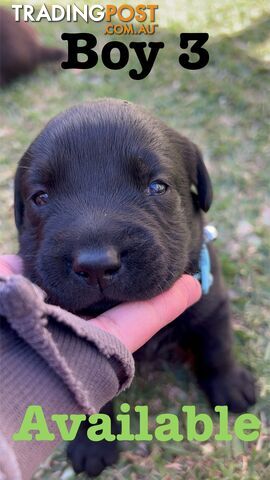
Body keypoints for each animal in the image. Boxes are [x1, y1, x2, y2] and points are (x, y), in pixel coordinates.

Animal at [13, 98, 256, 476]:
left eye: (157, 187)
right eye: (41, 197)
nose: (96, 264)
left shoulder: (212, 302)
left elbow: (218, 348)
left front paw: (230, 385)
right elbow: (89, 398)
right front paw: (93, 443)